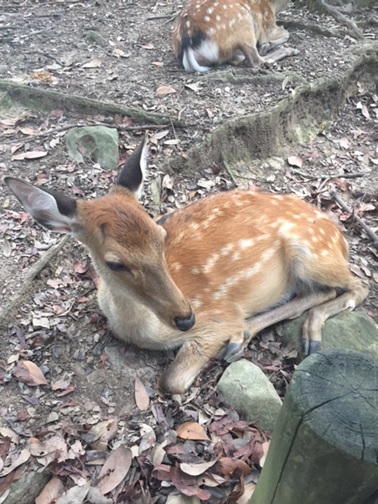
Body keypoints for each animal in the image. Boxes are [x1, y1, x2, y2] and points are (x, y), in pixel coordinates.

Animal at [4, 138, 368, 394]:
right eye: (114, 263)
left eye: (160, 235)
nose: (186, 317)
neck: (141, 329)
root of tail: (339, 234)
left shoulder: (217, 317)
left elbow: (171, 380)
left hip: (310, 252)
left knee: (358, 284)